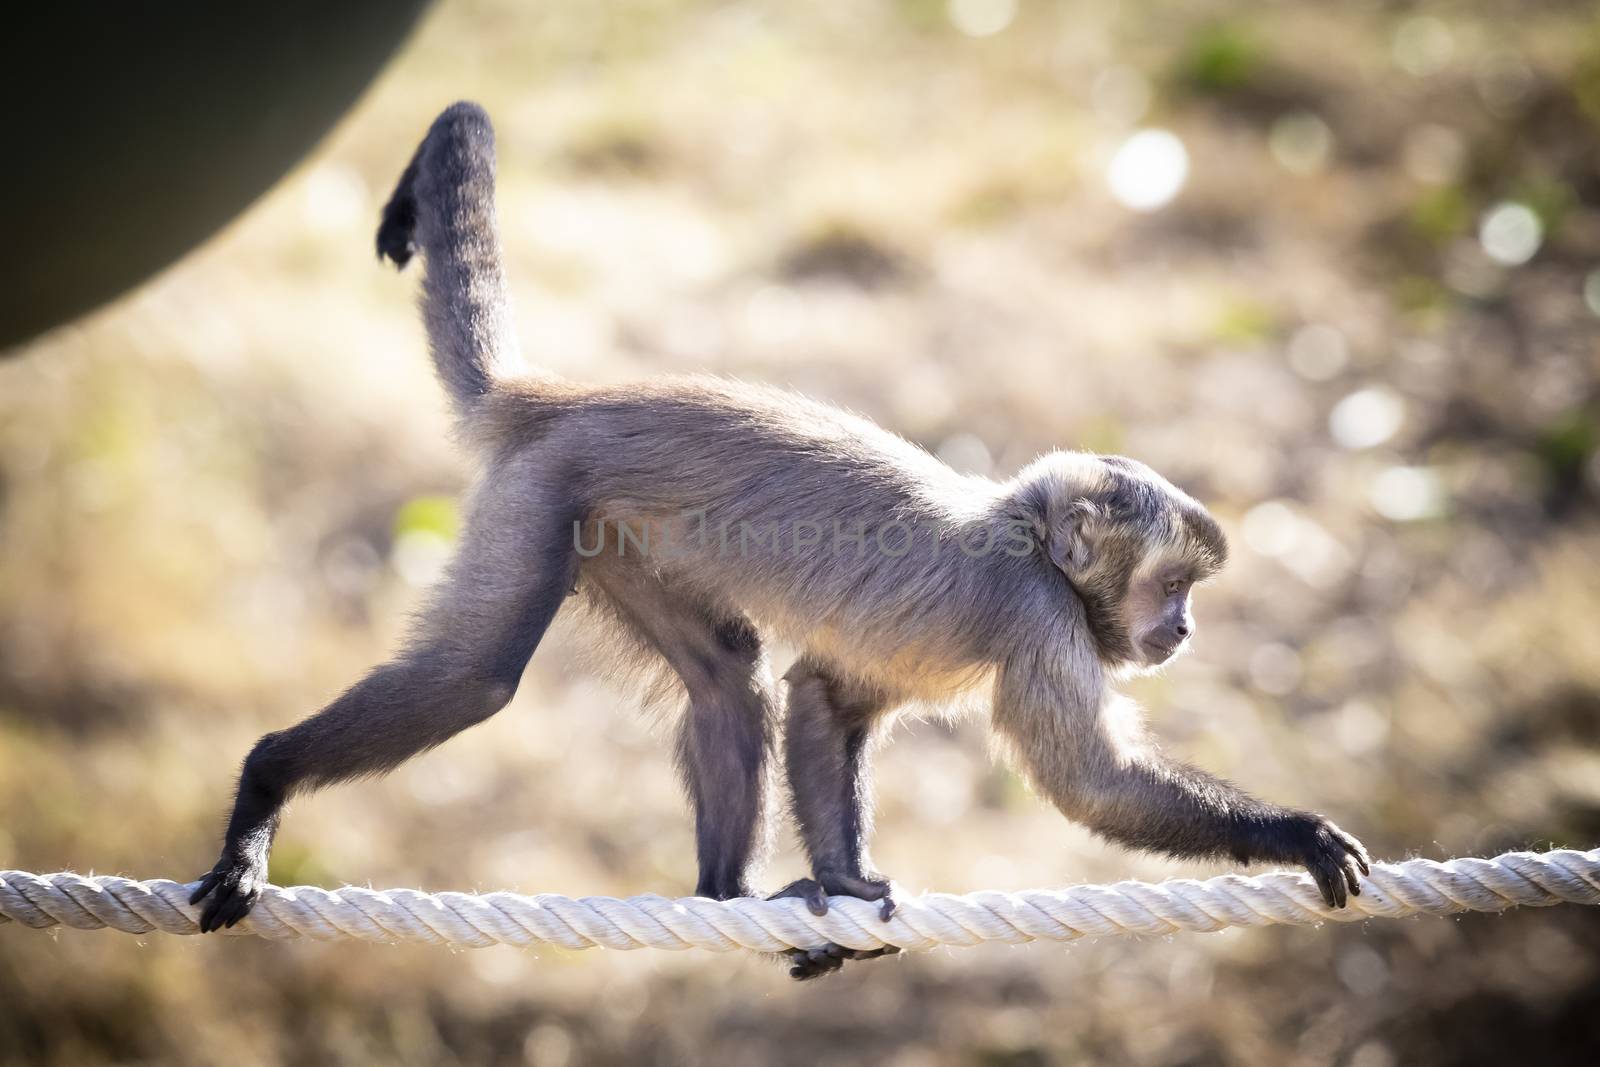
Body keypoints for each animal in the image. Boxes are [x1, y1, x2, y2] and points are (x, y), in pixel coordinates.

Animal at [187, 103, 1363, 979]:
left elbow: (820, 699)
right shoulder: (1037, 617)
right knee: (473, 676)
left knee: (729, 674)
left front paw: (841, 886)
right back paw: (266, 780)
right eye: (1170, 584)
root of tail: (563, 396)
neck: (1025, 533)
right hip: (542, 495)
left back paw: (726, 896)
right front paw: (1293, 833)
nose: (1185, 627)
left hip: (611, 526)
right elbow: (1091, 784)